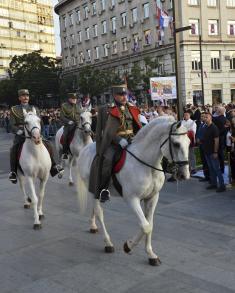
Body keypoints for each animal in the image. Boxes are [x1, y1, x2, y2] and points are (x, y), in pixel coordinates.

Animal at [76, 116, 190, 264]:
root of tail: (85, 149)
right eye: (176, 144)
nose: (184, 174)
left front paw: (151, 254)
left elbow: (150, 224)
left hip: (94, 190)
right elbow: (145, 226)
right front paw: (128, 246)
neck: (147, 165)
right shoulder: (132, 199)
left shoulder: (153, 198)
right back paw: (108, 243)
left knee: (95, 209)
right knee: (99, 212)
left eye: (189, 143)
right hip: (92, 187)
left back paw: (93, 226)